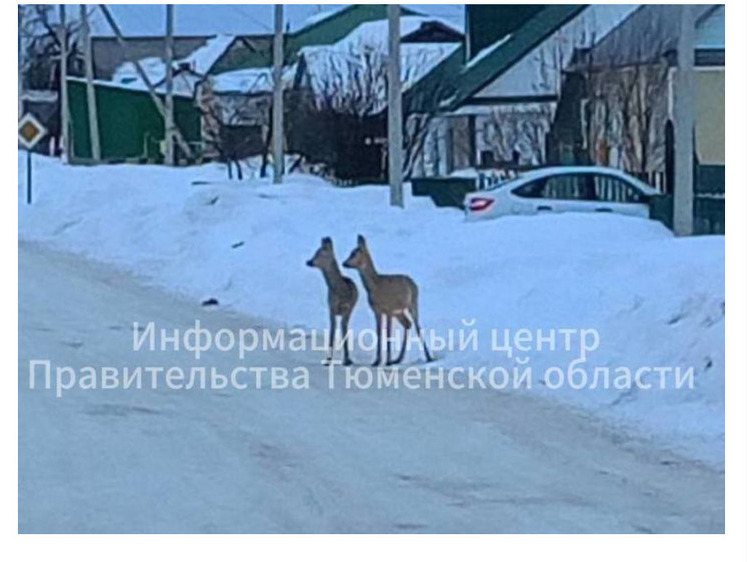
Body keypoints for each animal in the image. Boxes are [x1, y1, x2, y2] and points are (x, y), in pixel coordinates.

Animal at [306, 235, 360, 364]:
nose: (308, 261)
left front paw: (347, 359)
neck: (341, 291)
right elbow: (332, 331)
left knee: (344, 328)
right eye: (315, 252)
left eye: (320, 253)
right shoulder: (331, 307)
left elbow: (343, 330)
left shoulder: (347, 309)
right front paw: (328, 359)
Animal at [344, 234, 432, 366]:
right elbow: (379, 333)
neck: (375, 286)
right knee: (408, 324)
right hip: (400, 311)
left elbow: (388, 334)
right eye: (351, 252)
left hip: (413, 303)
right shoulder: (377, 311)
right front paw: (377, 361)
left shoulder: (389, 309)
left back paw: (429, 357)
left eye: (354, 253)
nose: (344, 263)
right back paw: (398, 359)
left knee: (417, 326)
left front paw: (387, 360)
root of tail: (413, 282)